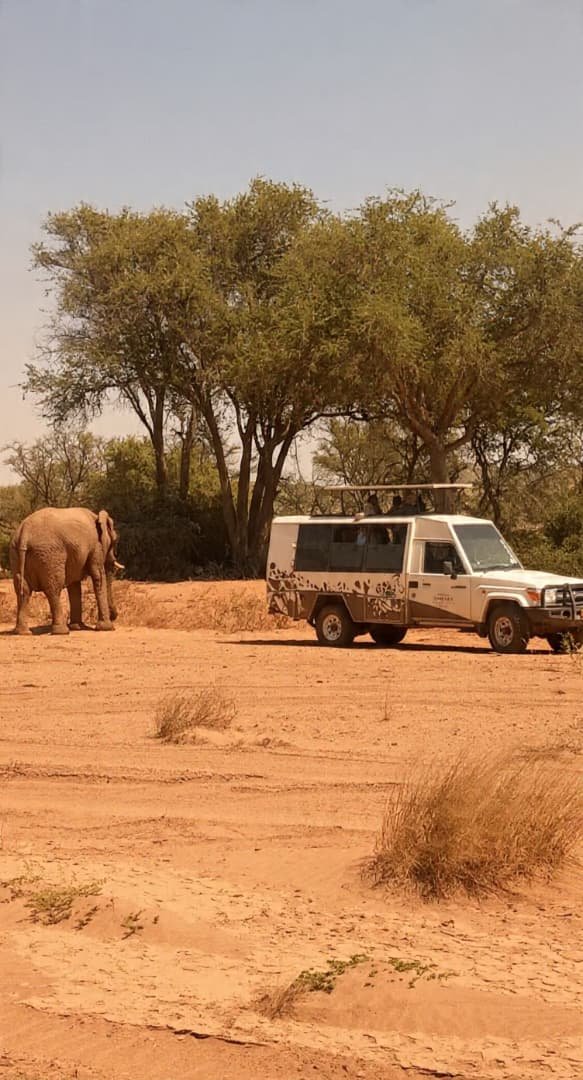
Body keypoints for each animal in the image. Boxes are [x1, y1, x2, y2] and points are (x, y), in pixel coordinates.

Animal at [9, 507, 123, 636]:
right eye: (115, 541)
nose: (114, 616)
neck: (97, 516)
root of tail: (25, 532)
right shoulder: (96, 546)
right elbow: (98, 575)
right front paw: (107, 628)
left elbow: (74, 584)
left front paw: (78, 627)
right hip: (50, 554)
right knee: (53, 588)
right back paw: (61, 631)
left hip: (15, 553)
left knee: (23, 589)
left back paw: (23, 632)